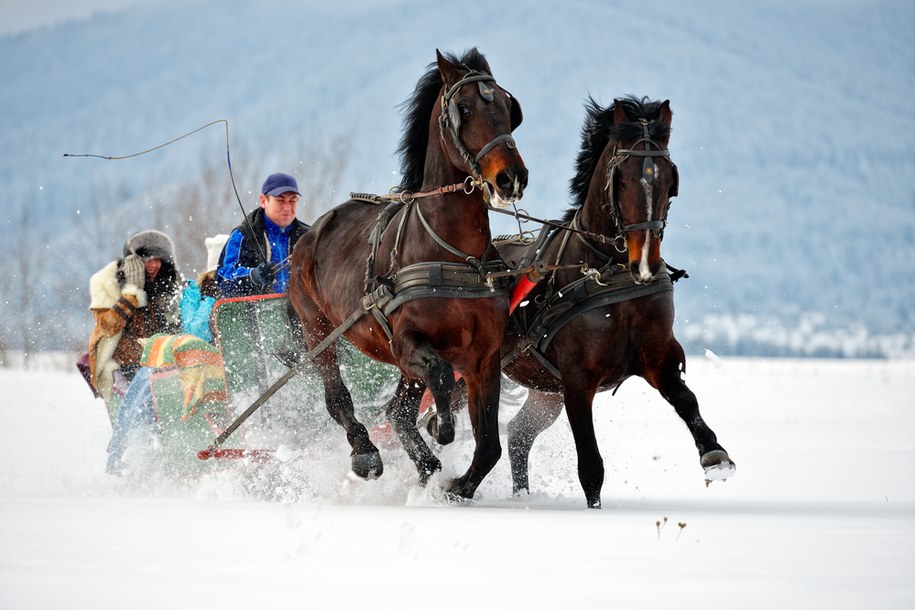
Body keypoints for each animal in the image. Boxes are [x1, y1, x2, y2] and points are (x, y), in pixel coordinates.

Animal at [286, 48, 528, 498]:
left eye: (508, 107)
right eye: (464, 109)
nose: (511, 177)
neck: (454, 256)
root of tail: (312, 231)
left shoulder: (484, 357)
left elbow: (489, 445)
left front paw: (457, 487)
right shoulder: (406, 344)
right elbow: (441, 377)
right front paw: (441, 427)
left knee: (397, 411)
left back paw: (427, 464)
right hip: (317, 331)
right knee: (338, 398)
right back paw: (366, 453)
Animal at [494, 96, 736, 504]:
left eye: (670, 181)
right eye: (621, 178)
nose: (645, 262)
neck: (608, 274)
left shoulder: (657, 356)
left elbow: (686, 399)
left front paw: (715, 454)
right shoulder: (577, 379)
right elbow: (591, 466)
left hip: (545, 392)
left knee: (518, 436)